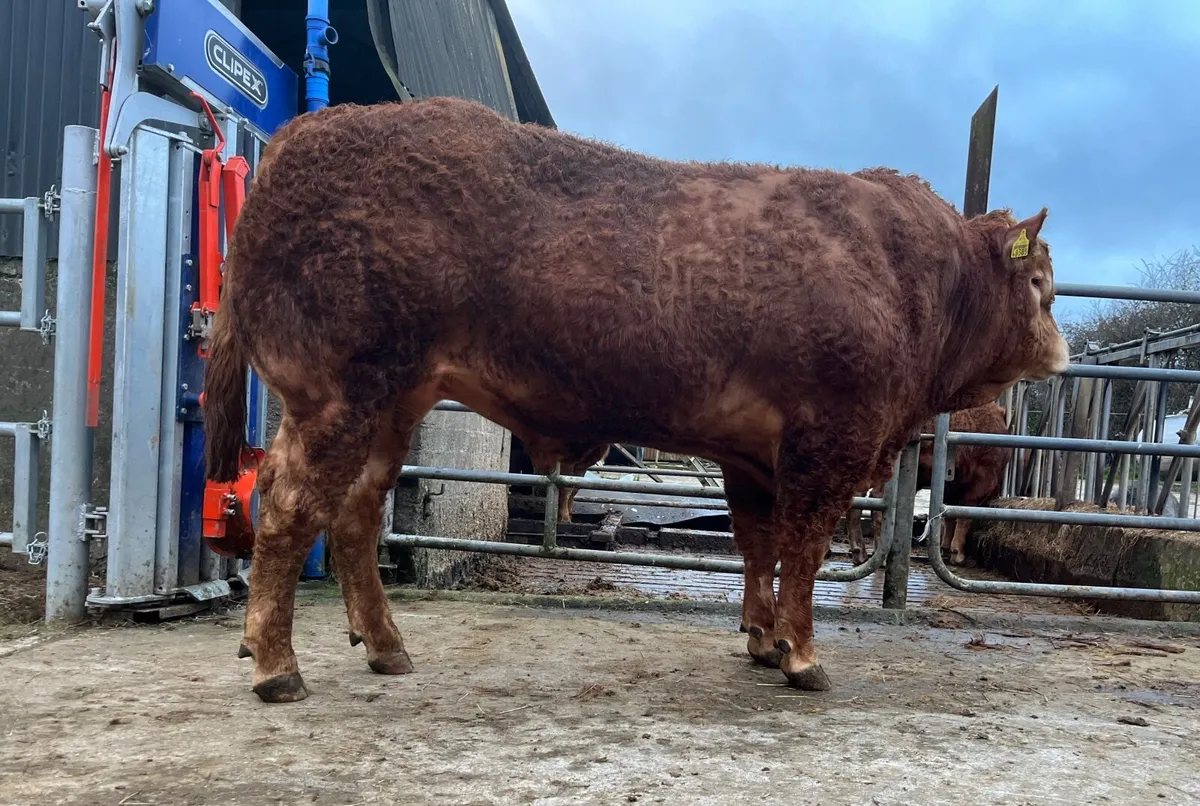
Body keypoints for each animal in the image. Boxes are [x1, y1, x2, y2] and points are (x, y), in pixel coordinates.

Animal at [845, 402, 1011, 566]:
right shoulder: (981, 482)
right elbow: (964, 515)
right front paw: (958, 556)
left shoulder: (950, 489)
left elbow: (949, 516)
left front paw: (945, 549)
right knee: (877, 497)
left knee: (857, 500)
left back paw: (860, 554)